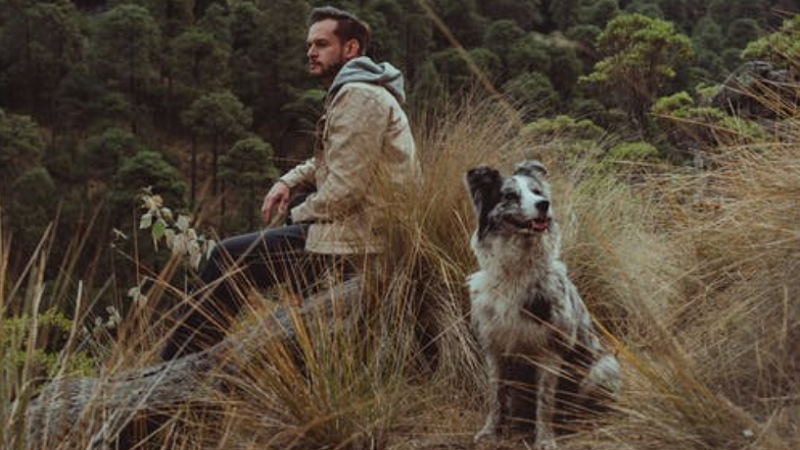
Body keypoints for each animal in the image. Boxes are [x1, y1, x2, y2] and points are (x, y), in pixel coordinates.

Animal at [466, 160, 620, 448]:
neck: (515, 273)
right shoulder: (494, 346)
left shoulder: (550, 350)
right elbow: (495, 396)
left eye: (537, 192)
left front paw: (545, 439)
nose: (544, 204)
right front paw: (490, 432)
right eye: (510, 195)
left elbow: (545, 403)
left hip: (604, 367)